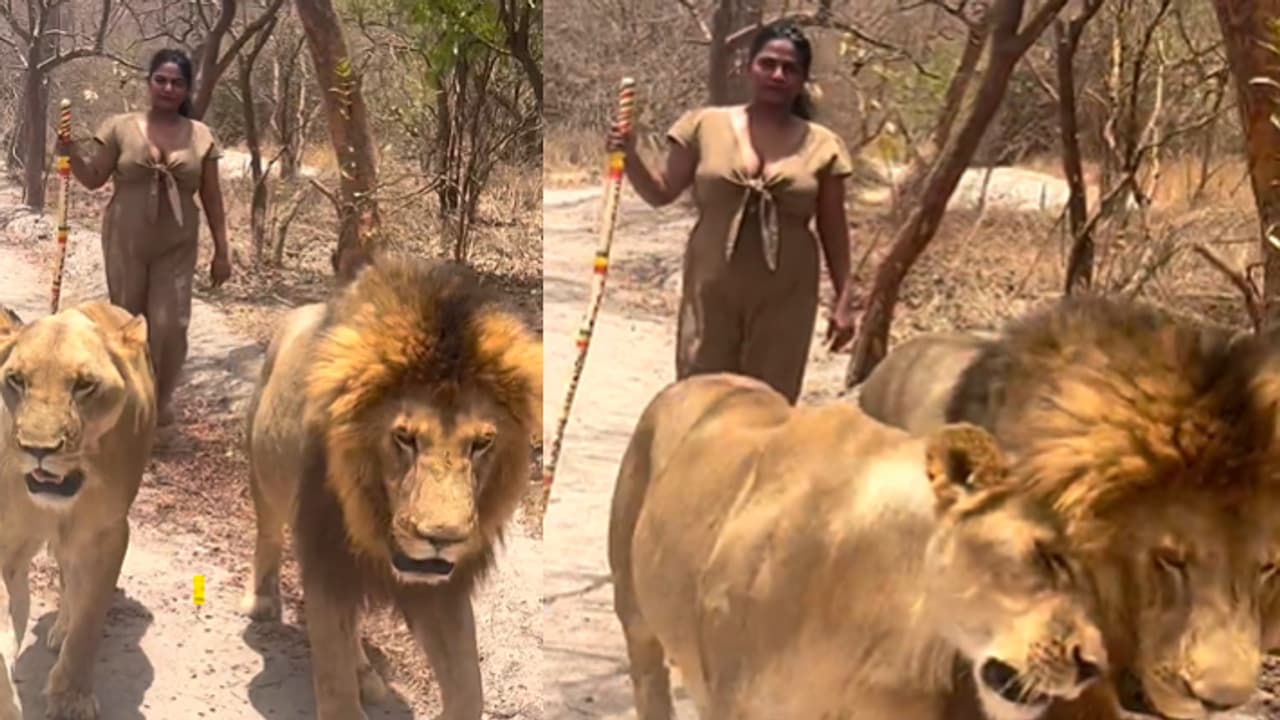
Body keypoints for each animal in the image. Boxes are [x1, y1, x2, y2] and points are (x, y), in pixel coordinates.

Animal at [0, 300, 156, 720]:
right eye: (16, 380)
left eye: (85, 385)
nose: (36, 448)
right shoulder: (7, 541)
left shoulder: (106, 536)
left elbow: (88, 620)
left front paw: (71, 699)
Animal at [238, 254, 542, 720]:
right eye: (404, 438)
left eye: (482, 443)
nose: (441, 538)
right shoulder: (328, 562)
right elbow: (335, 684)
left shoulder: (444, 588)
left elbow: (468, 691)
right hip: (264, 475)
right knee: (268, 532)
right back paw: (263, 603)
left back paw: (367, 677)